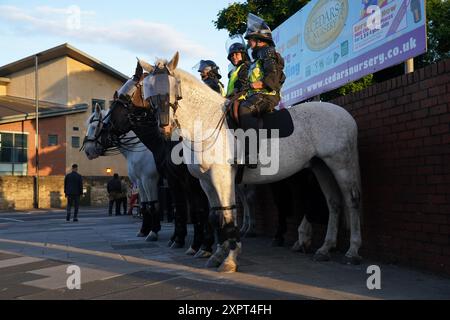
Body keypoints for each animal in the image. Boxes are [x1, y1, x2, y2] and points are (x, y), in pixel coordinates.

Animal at [83, 104, 160, 241]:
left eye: (93, 127)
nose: (87, 151)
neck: (138, 148)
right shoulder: (140, 181)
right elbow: (144, 206)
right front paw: (144, 230)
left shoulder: (149, 180)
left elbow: (153, 206)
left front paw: (153, 232)